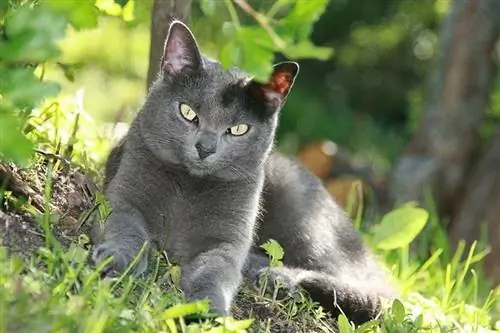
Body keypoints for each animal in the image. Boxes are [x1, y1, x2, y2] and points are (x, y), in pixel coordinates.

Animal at [94, 20, 396, 324]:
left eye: (238, 129)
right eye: (187, 112)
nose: (205, 148)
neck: (189, 185)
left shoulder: (227, 240)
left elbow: (216, 271)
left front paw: (209, 308)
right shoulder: (124, 198)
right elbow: (127, 229)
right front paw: (115, 260)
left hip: (306, 216)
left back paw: (279, 277)